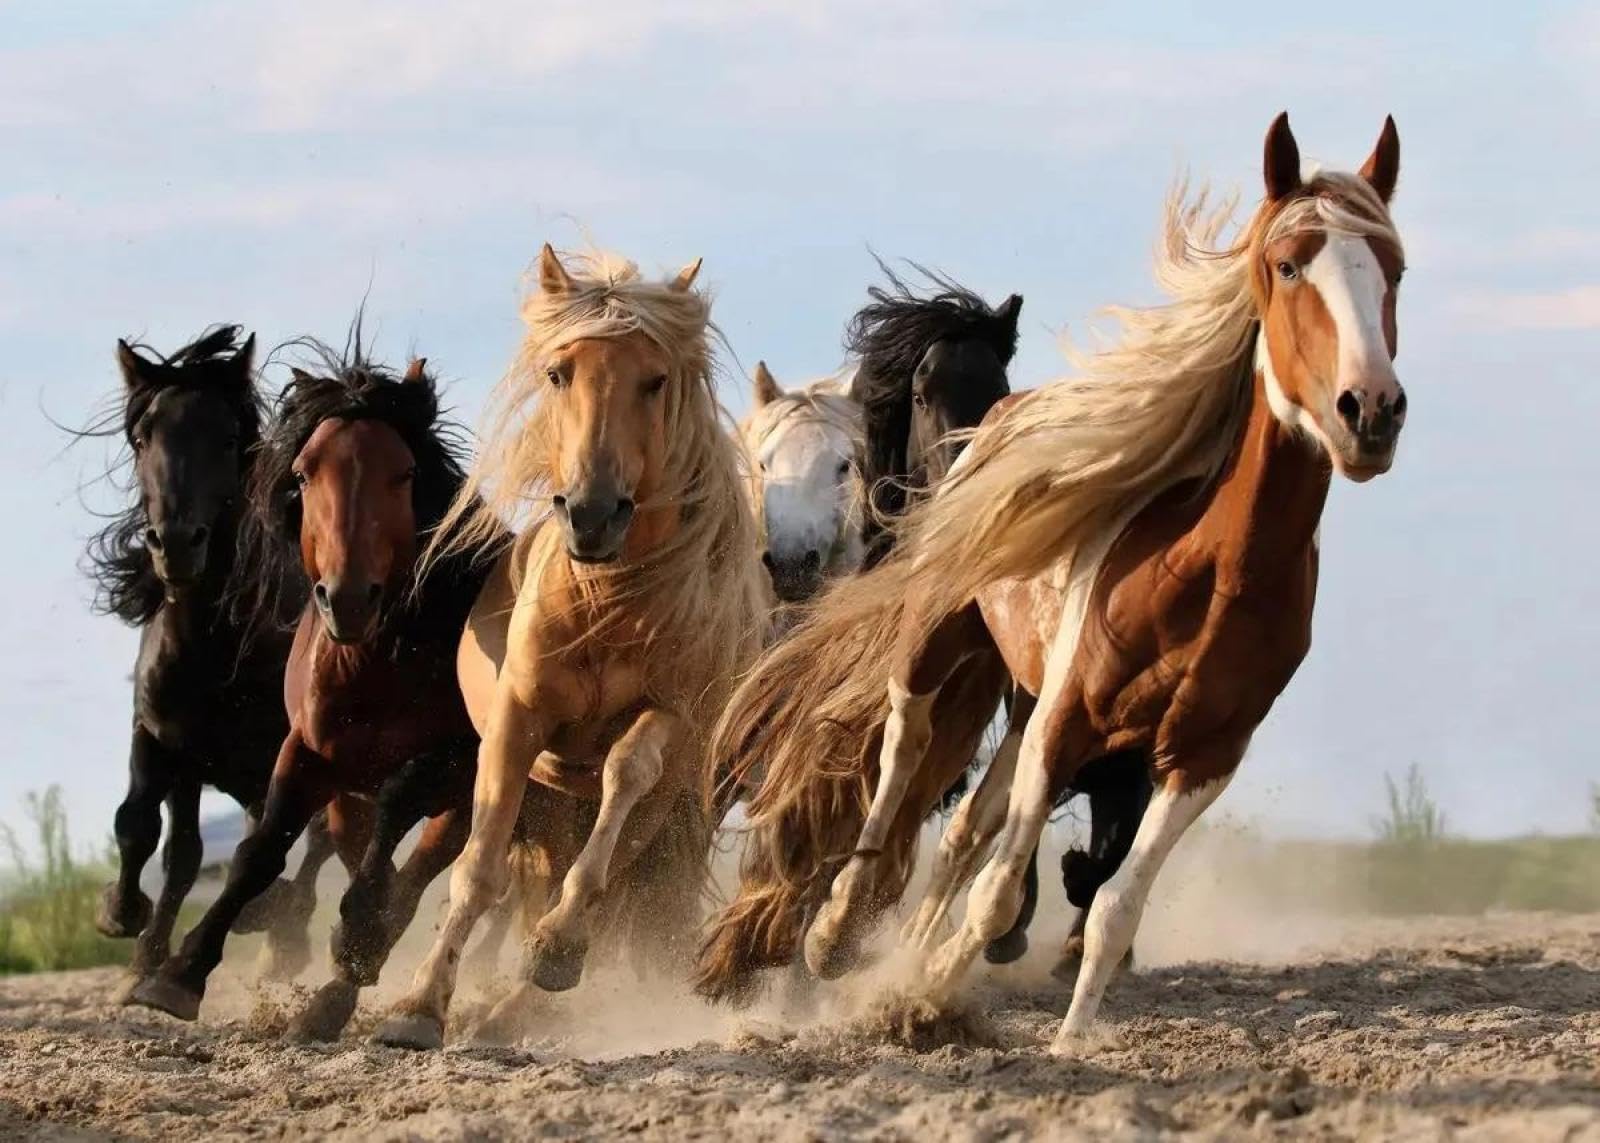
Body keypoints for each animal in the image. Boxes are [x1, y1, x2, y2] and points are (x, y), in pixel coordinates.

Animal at [83, 326, 332, 999]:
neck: (213, 648)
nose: (175, 544)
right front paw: (128, 929)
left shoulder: (282, 754)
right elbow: (148, 831)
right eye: (143, 437)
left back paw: (282, 934)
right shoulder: (165, 740)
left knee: (317, 843)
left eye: (227, 438)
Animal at [128, 342, 504, 1036]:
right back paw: (330, 994)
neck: (375, 661)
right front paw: (179, 974)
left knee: (415, 875)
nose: (347, 599)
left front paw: (356, 933)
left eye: (404, 473)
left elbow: (398, 809)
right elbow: (260, 850)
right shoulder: (306, 750)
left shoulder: (457, 759)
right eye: (304, 475)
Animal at [372, 246, 769, 1051]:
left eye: (655, 380)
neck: (605, 603)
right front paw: (419, 1005)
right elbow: (478, 870)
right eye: (560, 373)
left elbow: (624, 779)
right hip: (554, 804)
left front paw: (555, 947)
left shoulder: (668, 719)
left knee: (610, 889)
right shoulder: (517, 722)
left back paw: (522, 998)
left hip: (661, 810)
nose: (591, 513)